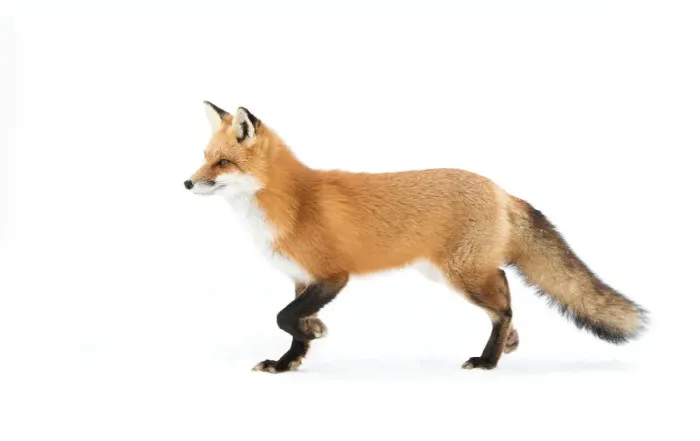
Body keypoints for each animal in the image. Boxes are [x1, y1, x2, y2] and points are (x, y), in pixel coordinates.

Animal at [185, 101, 648, 374]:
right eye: (204, 159)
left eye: (223, 163)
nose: (187, 183)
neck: (291, 202)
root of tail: (500, 189)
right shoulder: (302, 279)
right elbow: (291, 324)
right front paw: (289, 361)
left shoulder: (332, 276)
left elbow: (285, 317)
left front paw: (313, 331)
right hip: (447, 272)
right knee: (503, 292)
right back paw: (507, 345)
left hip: (462, 275)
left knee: (502, 301)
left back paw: (489, 359)